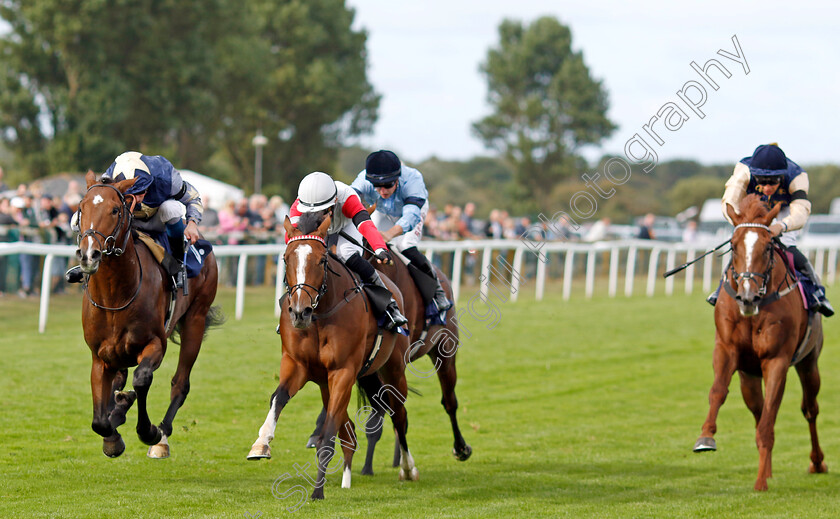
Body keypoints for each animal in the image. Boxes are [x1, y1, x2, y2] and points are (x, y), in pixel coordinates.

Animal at [76, 172, 220, 460]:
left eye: (115, 210)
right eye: (81, 209)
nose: (89, 255)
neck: (115, 297)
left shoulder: (155, 344)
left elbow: (142, 379)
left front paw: (148, 431)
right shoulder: (100, 356)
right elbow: (99, 420)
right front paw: (112, 437)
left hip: (195, 320)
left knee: (180, 383)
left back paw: (160, 437)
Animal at [248, 214, 420, 500]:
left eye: (321, 260)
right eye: (286, 258)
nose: (299, 312)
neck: (319, 315)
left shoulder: (343, 371)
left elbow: (328, 433)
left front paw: (317, 492)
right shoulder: (297, 365)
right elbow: (278, 398)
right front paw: (261, 444)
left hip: (392, 370)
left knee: (399, 415)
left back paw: (408, 468)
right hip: (327, 385)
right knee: (348, 430)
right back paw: (347, 479)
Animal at [688, 195, 828, 492]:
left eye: (767, 247)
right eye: (732, 245)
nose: (747, 297)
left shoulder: (777, 360)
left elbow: (769, 420)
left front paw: (761, 481)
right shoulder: (727, 350)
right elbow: (718, 391)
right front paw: (705, 437)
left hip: (809, 362)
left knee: (809, 409)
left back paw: (817, 462)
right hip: (749, 377)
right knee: (759, 409)